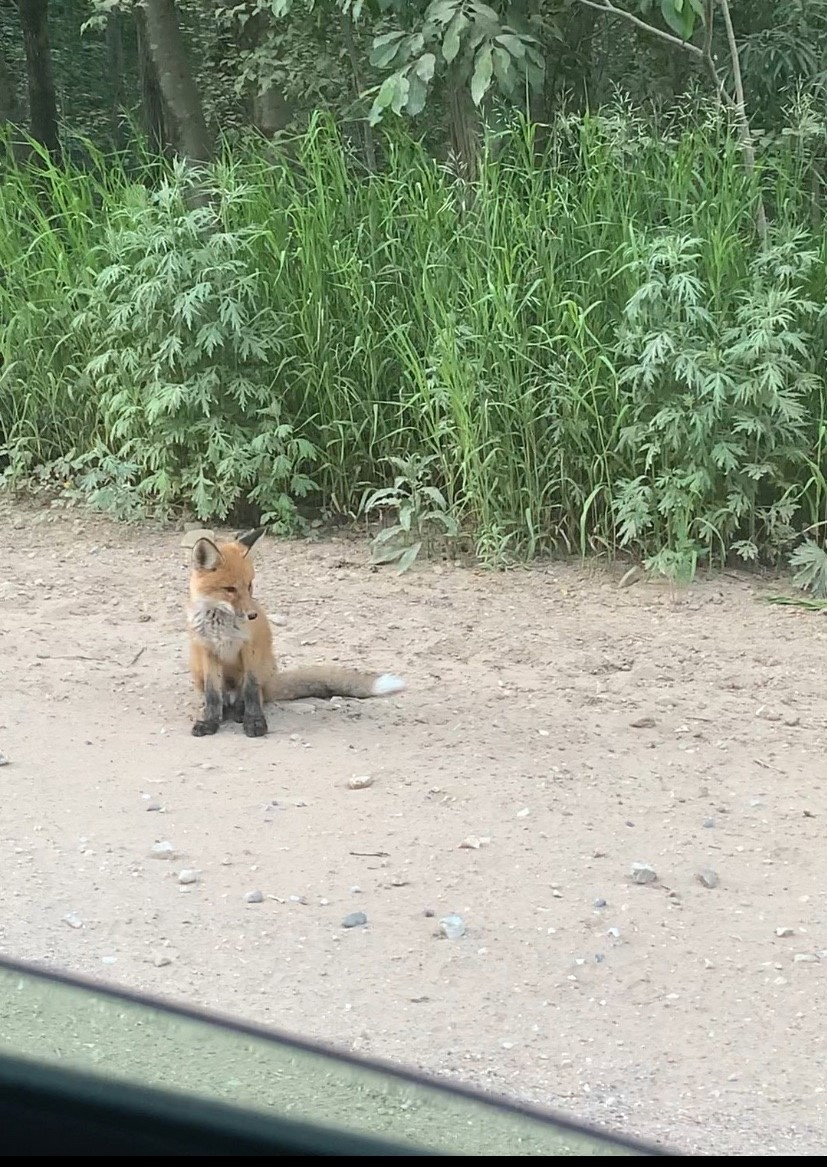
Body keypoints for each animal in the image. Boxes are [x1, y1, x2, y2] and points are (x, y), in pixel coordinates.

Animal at [186, 529, 405, 737]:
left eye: (249, 586)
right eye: (230, 589)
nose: (252, 615)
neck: (221, 624)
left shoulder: (250, 649)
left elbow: (251, 691)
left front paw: (254, 721)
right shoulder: (208, 650)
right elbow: (213, 695)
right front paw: (209, 721)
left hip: (262, 667)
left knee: (255, 695)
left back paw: (240, 711)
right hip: (197, 670)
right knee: (220, 697)